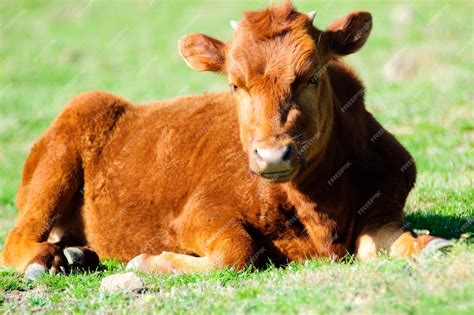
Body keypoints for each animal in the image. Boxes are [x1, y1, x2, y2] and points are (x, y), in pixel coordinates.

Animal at [0, 1, 452, 278]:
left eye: (312, 76)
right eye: (235, 85)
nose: (272, 156)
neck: (318, 211)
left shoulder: (385, 202)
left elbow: (391, 239)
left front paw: (427, 245)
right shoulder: (198, 214)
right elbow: (236, 251)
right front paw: (147, 261)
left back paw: (77, 253)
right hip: (59, 156)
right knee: (18, 238)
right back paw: (47, 260)